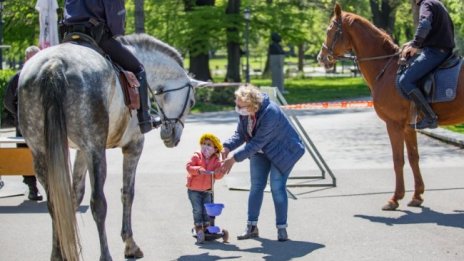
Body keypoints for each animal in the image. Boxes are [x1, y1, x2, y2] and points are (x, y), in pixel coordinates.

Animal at [17, 33, 202, 258]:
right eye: (192, 102)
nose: (171, 136)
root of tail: (54, 64)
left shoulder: (80, 151)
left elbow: (74, 196)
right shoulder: (133, 146)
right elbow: (127, 193)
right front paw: (130, 244)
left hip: (42, 153)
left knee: (54, 203)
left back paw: (57, 255)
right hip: (96, 151)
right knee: (98, 203)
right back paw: (105, 255)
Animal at [318, 3, 464, 209]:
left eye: (330, 30)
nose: (321, 57)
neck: (386, 68)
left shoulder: (393, 125)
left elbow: (398, 160)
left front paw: (395, 198)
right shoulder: (409, 127)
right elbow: (413, 158)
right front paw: (416, 196)